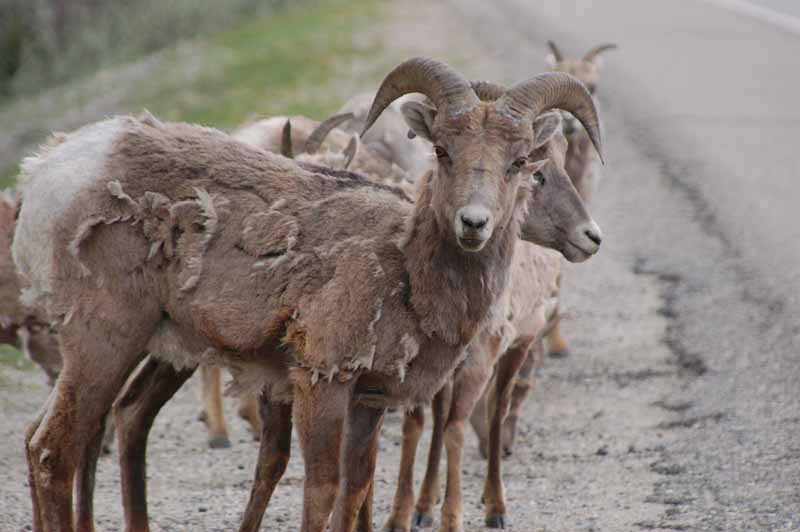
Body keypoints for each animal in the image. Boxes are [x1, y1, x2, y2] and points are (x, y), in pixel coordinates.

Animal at [15, 58, 600, 532]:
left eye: (519, 162)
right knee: (53, 453)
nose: (473, 224)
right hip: (104, 341)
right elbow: (321, 491)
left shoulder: (370, 400)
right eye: (442, 150)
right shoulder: (321, 383)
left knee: (79, 430)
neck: (405, 271)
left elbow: (356, 489)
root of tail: (48, 172)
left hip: (148, 347)